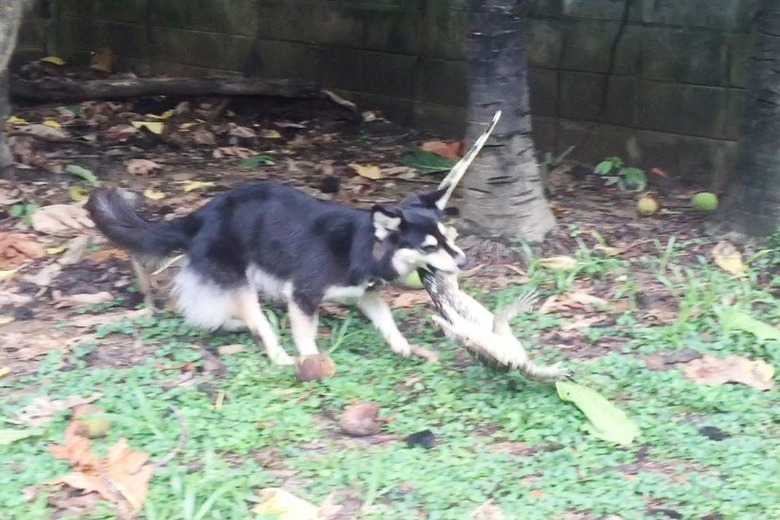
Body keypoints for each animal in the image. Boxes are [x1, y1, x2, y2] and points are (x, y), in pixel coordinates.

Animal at [87, 183, 464, 366]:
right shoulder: (303, 295)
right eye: (429, 247)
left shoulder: (365, 294)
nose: (462, 260)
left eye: (448, 237)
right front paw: (310, 359)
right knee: (250, 320)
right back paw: (275, 352)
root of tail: (199, 216)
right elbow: (305, 335)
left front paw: (401, 345)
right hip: (240, 282)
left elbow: (386, 320)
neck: (363, 243)